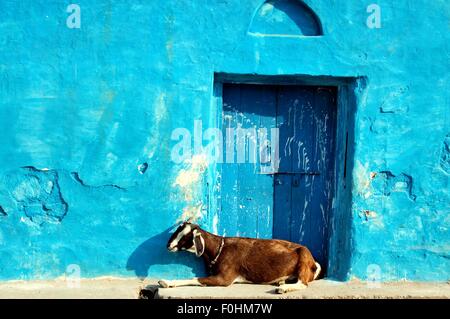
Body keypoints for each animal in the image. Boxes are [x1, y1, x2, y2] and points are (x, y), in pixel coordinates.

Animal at [158, 222, 320, 296]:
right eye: (177, 231)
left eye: (186, 237)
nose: (168, 245)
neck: (219, 249)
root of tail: (314, 263)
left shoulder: (224, 278)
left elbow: (196, 279)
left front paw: (166, 282)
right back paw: (281, 281)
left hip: (304, 255)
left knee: (303, 283)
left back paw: (283, 288)